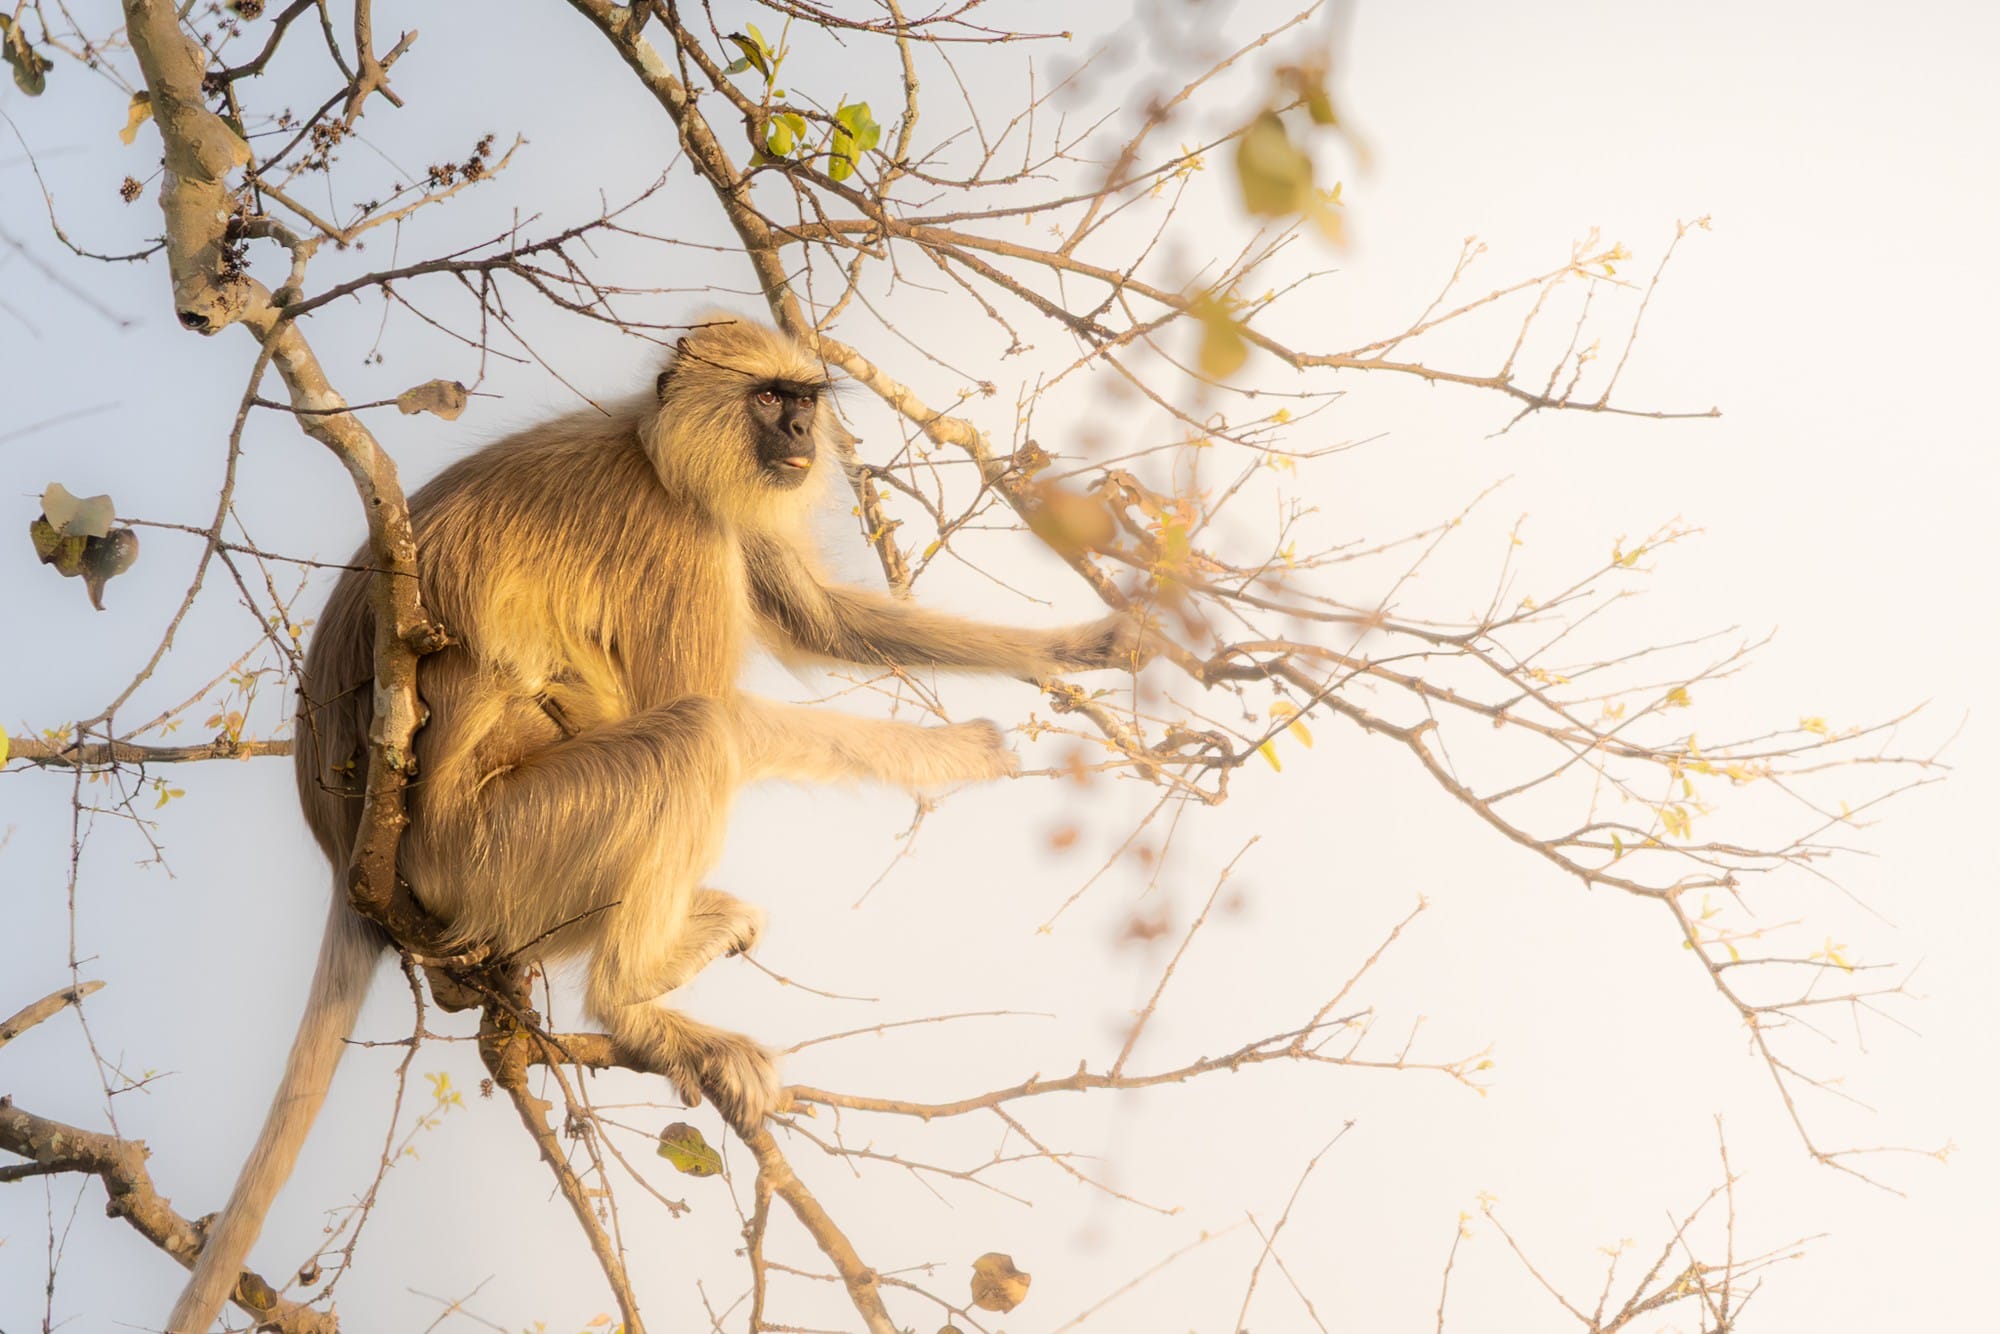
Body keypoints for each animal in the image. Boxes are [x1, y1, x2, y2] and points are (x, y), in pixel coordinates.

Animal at [167, 314, 1144, 1331]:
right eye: (769, 399)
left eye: (804, 400)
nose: (803, 435)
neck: (650, 448)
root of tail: (350, 853)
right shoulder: (678, 535)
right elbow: (710, 703)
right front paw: (955, 754)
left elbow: (824, 623)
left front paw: (1089, 645)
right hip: (491, 849)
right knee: (695, 737)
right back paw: (632, 1005)